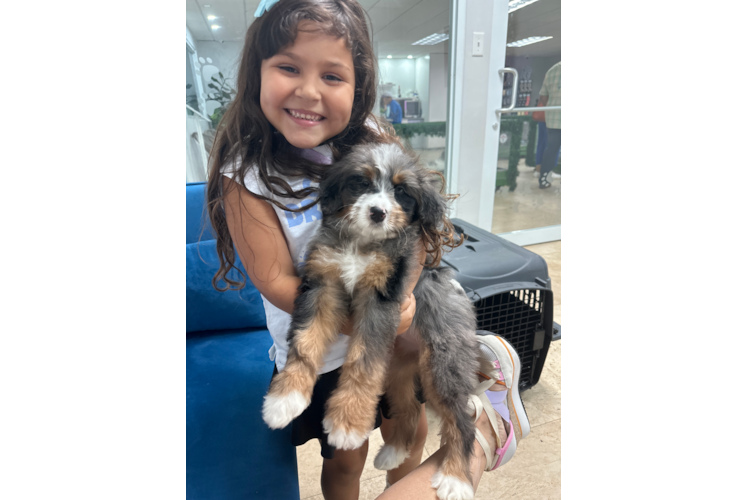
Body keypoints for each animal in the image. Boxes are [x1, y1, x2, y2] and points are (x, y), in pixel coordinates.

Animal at [262, 143, 480, 498]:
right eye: (361, 183)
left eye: (402, 191)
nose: (378, 212)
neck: (361, 244)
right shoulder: (323, 285)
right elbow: (305, 342)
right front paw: (285, 399)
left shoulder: (381, 298)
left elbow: (363, 361)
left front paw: (347, 423)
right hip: (396, 372)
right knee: (408, 409)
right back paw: (392, 452)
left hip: (441, 367)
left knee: (462, 419)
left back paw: (455, 478)